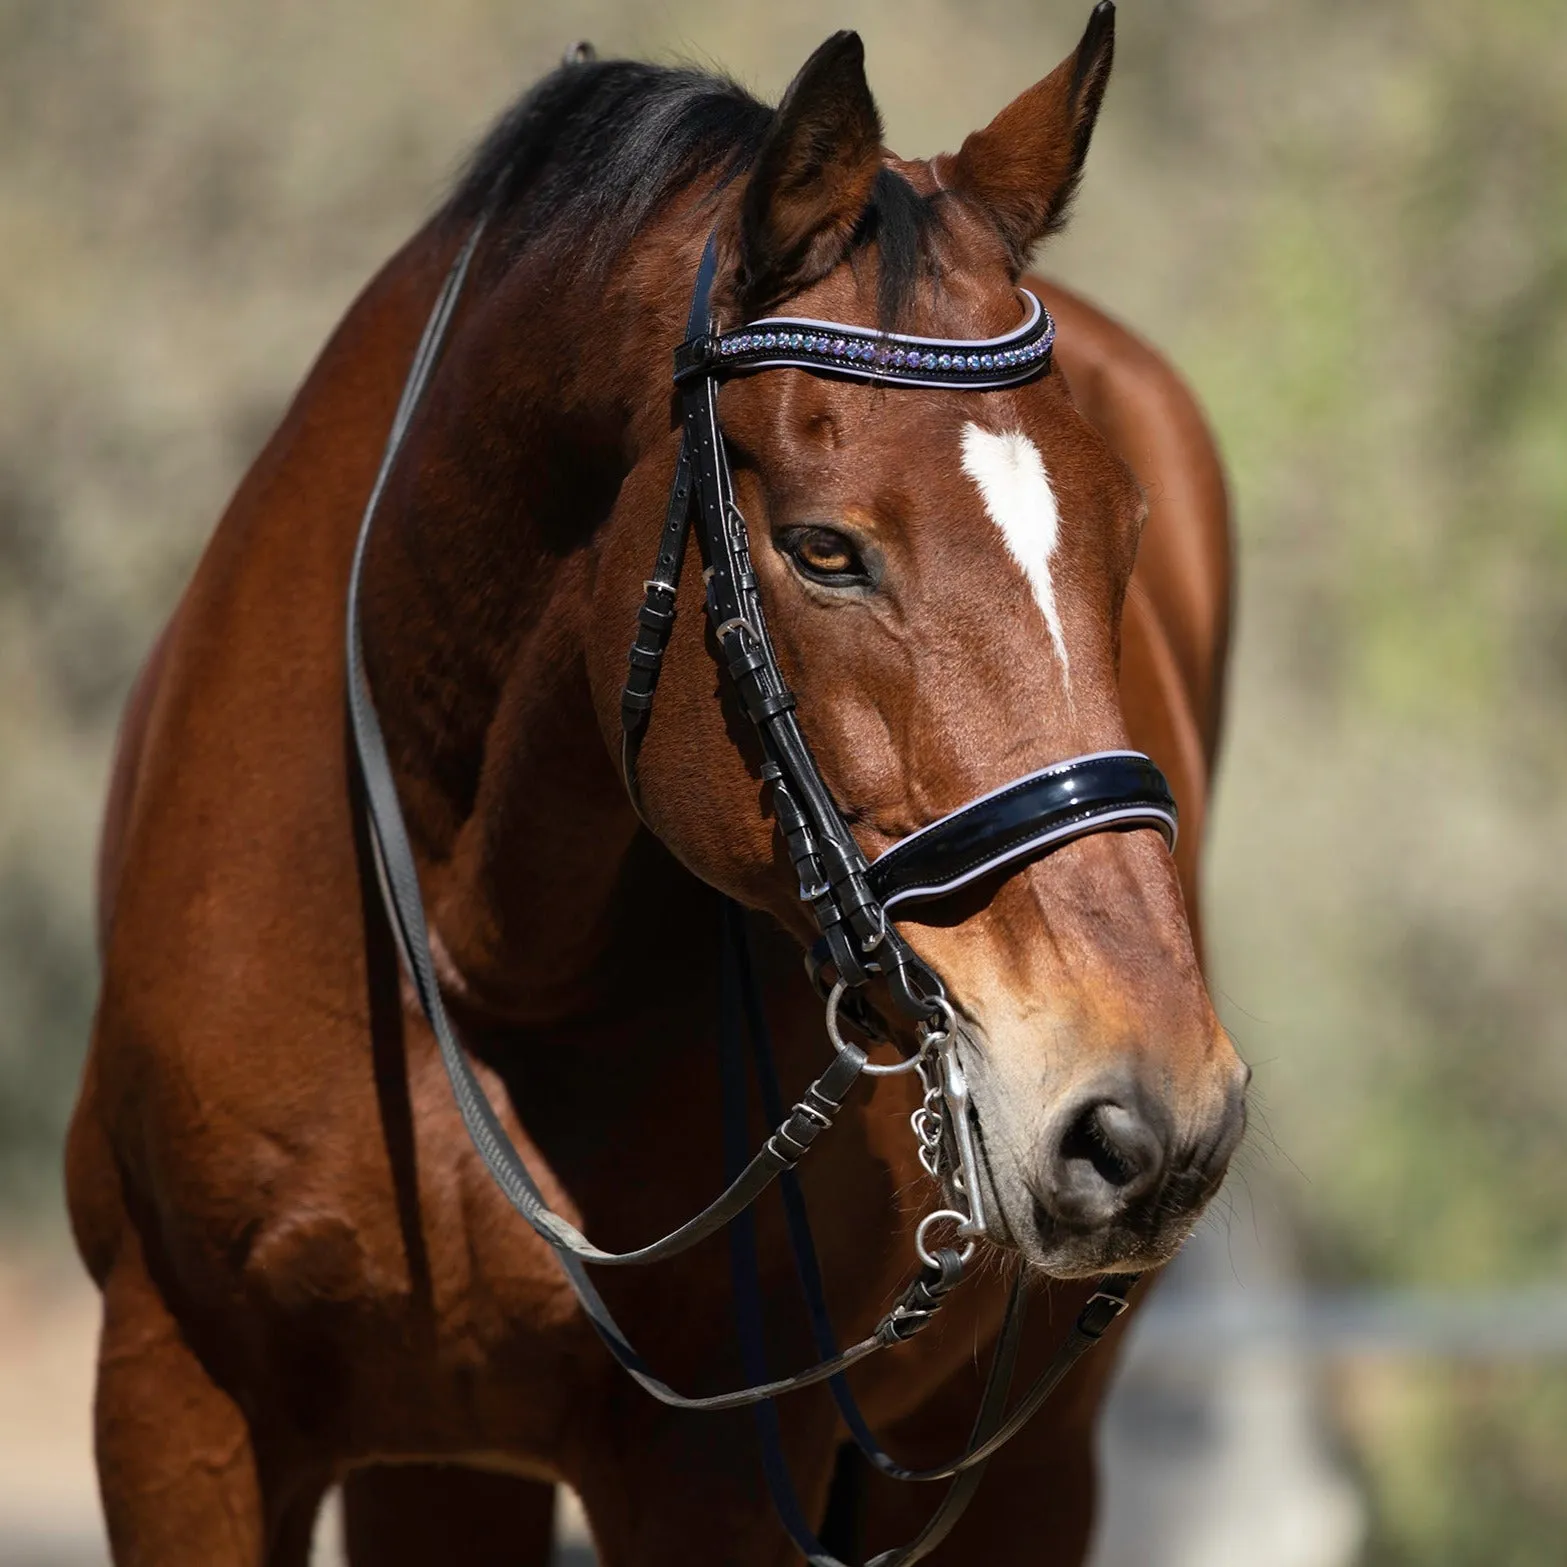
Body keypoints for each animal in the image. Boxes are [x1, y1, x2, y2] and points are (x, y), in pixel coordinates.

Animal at [67, 6, 1247, 1560]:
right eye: (822, 550)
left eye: (1123, 530)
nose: (1150, 1115)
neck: (470, 955)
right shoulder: (175, 1401)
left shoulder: (715, 1466)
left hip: (1026, 1451)